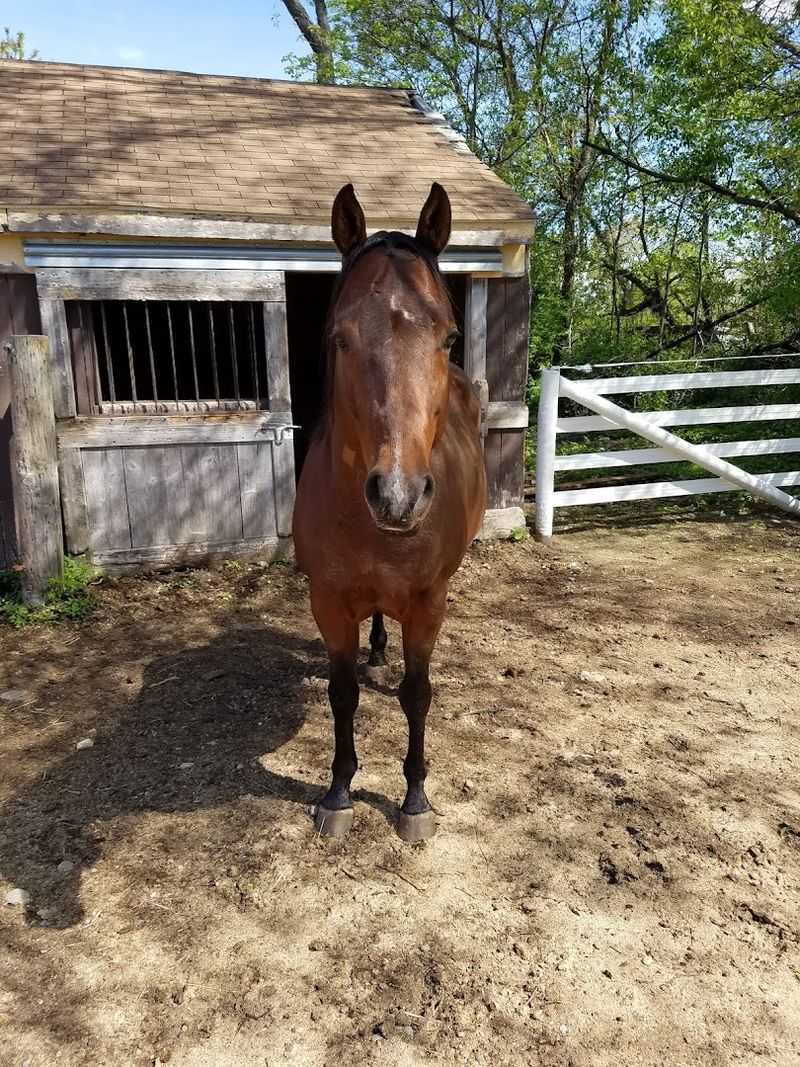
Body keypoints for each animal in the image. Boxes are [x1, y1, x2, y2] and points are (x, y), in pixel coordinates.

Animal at [292, 182, 487, 841]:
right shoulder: (328, 601)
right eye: (339, 336)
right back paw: (377, 650)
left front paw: (415, 799)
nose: (398, 495)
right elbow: (342, 693)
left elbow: (417, 694)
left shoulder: (428, 605)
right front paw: (338, 793)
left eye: (449, 336)